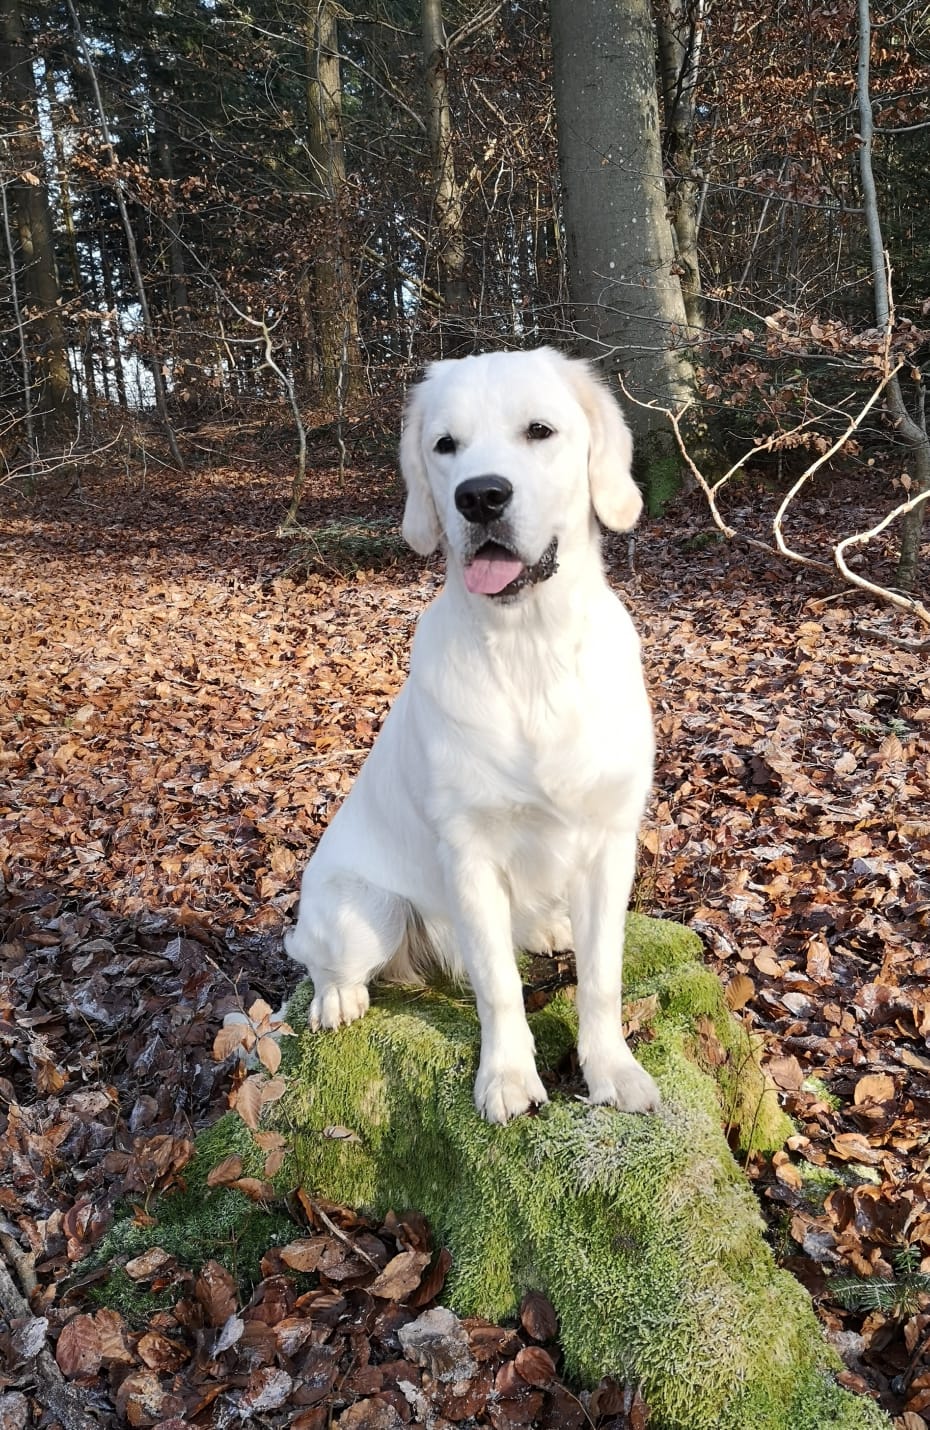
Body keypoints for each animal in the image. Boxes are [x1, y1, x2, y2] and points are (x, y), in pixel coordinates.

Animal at [286, 340, 655, 1121]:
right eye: (444, 445)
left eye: (540, 431)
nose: (480, 497)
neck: (531, 650)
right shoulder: (469, 852)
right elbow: (498, 985)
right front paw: (509, 1078)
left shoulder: (611, 840)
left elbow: (602, 977)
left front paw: (611, 1067)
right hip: (366, 910)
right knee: (317, 956)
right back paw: (337, 998)